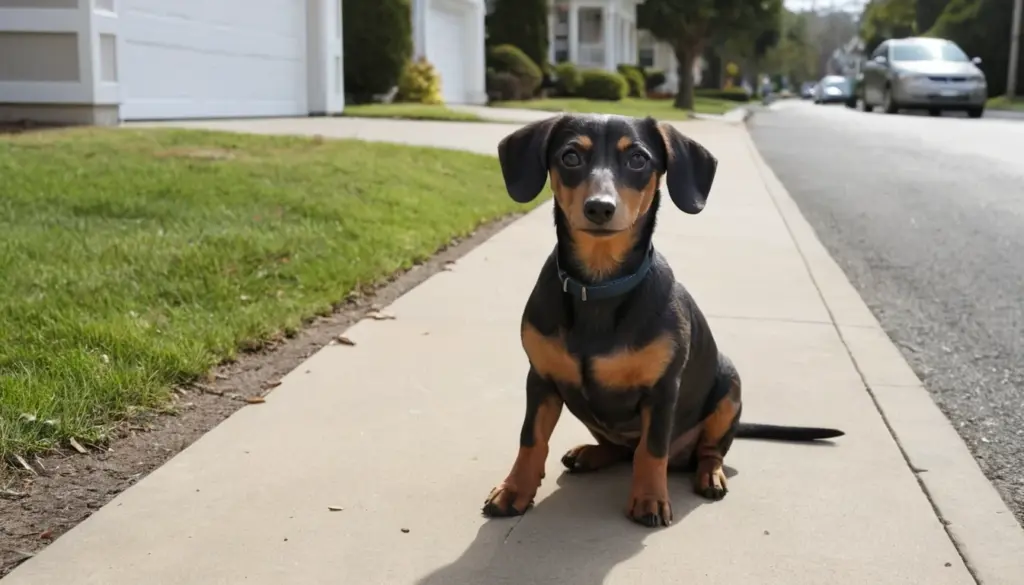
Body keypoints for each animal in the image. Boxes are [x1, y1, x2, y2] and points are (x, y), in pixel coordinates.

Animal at [483, 112, 843, 528]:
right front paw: (514, 491)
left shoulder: (662, 391)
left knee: (706, 451)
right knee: (621, 449)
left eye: (638, 159)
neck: (599, 288)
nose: (599, 208)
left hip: (730, 390)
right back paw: (591, 453)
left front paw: (650, 499)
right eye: (570, 156)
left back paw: (709, 474)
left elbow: (652, 449)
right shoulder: (541, 379)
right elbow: (531, 439)